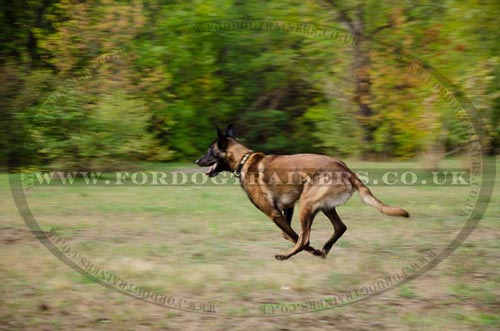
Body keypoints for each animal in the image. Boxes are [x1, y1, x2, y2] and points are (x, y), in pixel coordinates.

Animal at [196, 125, 410, 262]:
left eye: (209, 150)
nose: (197, 161)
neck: (243, 160)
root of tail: (345, 168)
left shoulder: (274, 213)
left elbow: (293, 235)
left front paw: (311, 250)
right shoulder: (287, 207)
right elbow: (287, 233)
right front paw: (315, 250)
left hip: (307, 204)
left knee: (305, 237)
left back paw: (289, 255)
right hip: (323, 206)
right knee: (340, 227)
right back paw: (323, 250)